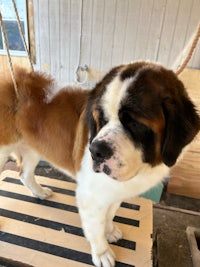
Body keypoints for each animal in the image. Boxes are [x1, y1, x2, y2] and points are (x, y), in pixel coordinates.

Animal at [0, 61, 199, 267]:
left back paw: (40, 192)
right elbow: (96, 227)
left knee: (25, 174)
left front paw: (110, 231)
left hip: (33, 148)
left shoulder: (113, 191)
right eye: (102, 119)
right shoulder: (90, 196)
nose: (95, 151)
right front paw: (102, 252)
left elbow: (110, 214)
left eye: (135, 123)